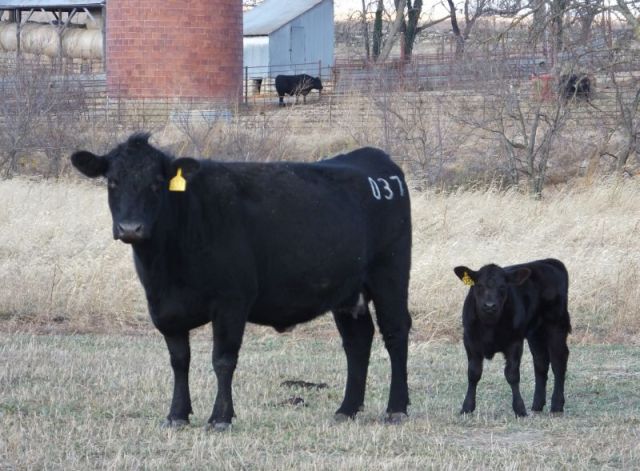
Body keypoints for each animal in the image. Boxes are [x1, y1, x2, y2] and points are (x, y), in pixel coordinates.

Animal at [70, 133, 412, 431]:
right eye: (113, 182)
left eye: (156, 184)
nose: (131, 228)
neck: (166, 268)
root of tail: (374, 159)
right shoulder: (164, 308)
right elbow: (179, 360)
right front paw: (176, 415)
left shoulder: (231, 301)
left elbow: (222, 360)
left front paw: (220, 417)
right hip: (347, 291)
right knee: (357, 341)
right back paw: (347, 409)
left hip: (390, 274)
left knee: (395, 332)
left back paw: (396, 409)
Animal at [453, 259, 571, 417]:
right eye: (479, 285)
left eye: (503, 287)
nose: (489, 306)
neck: (489, 325)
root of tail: (549, 261)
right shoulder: (470, 341)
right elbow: (473, 373)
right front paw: (467, 407)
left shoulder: (514, 342)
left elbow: (512, 374)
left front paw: (520, 409)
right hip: (535, 332)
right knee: (541, 362)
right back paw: (537, 405)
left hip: (556, 325)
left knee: (558, 362)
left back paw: (557, 406)